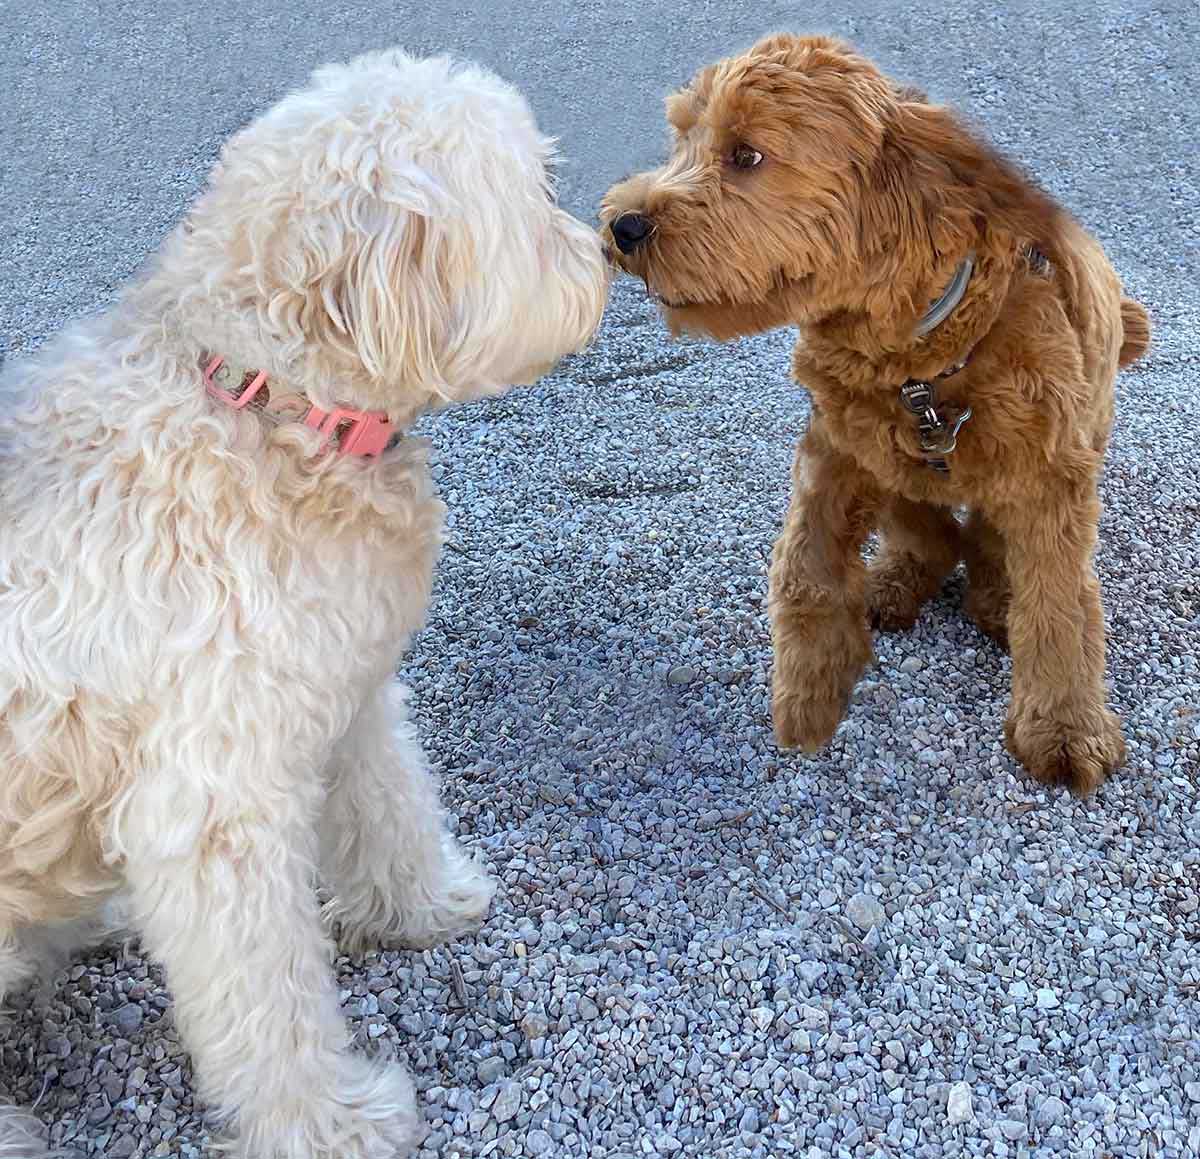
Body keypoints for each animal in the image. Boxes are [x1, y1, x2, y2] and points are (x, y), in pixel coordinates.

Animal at [0, 47, 604, 1159]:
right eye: (540, 193)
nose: (610, 252)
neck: (265, 402)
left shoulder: (345, 687)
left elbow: (390, 801)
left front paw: (424, 902)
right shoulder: (214, 803)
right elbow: (266, 997)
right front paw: (331, 1122)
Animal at [604, 36, 1147, 796]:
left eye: (746, 155)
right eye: (683, 137)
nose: (624, 225)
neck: (921, 362)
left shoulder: (1051, 476)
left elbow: (1060, 605)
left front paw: (1065, 728)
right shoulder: (838, 442)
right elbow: (805, 564)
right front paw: (810, 691)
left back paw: (994, 592)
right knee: (927, 524)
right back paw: (899, 578)